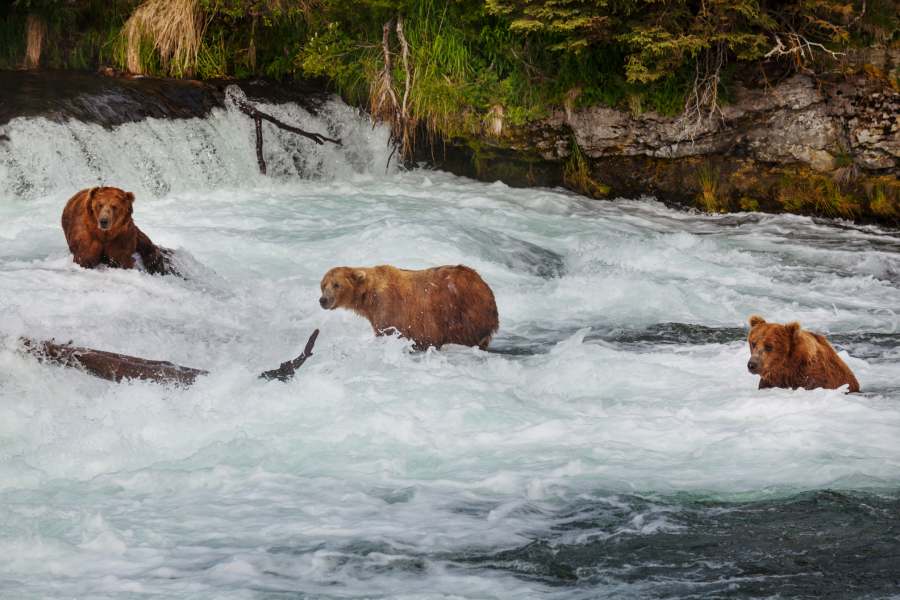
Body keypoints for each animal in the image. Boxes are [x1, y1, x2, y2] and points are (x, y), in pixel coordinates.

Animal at [318, 264, 502, 352]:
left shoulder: (390, 309)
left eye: (336, 284)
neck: (368, 297)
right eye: (323, 285)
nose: (323, 300)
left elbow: (388, 332)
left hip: (461, 313)